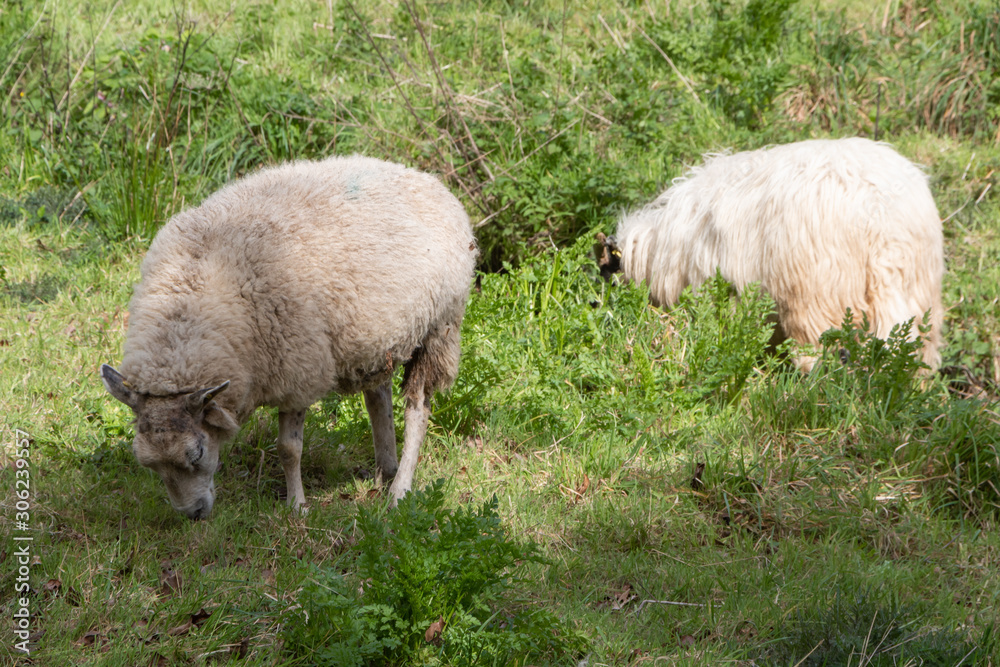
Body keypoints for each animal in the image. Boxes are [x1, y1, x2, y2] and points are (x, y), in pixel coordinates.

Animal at [100, 155, 478, 520]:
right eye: (148, 464)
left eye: (197, 453)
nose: (192, 514)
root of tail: (423, 177)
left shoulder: (298, 368)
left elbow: (288, 449)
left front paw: (296, 506)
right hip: (375, 339)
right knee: (378, 400)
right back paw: (385, 471)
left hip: (438, 328)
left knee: (418, 409)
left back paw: (400, 490)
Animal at [605, 138, 944, 371]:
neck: (654, 248)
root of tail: (879, 215)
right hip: (916, 291)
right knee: (914, 349)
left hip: (816, 296)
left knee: (822, 352)